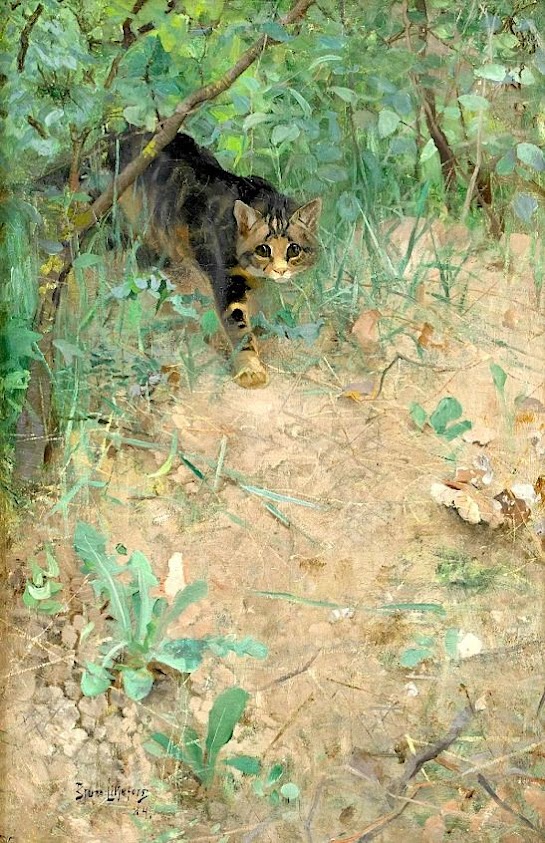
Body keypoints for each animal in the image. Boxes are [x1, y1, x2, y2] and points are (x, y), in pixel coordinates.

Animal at [112, 135, 320, 390]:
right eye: (263, 249)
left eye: (294, 249)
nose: (280, 270)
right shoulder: (226, 282)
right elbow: (239, 329)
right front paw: (249, 369)